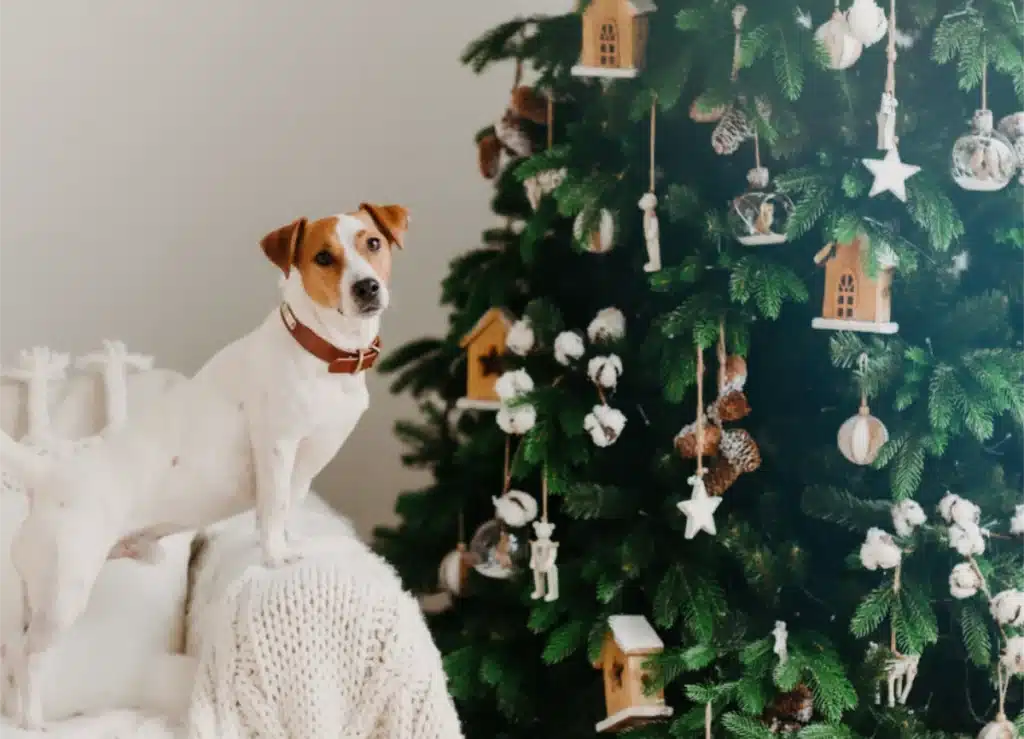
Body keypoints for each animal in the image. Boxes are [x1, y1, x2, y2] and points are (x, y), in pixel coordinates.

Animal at [0, 201, 407, 724]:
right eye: (323, 257)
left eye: (372, 243)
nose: (366, 287)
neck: (320, 349)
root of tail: (47, 473)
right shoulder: (276, 445)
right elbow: (272, 508)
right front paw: (276, 556)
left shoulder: (306, 460)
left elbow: (288, 507)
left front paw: (290, 542)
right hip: (63, 593)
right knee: (25, 656)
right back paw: (31, 721)